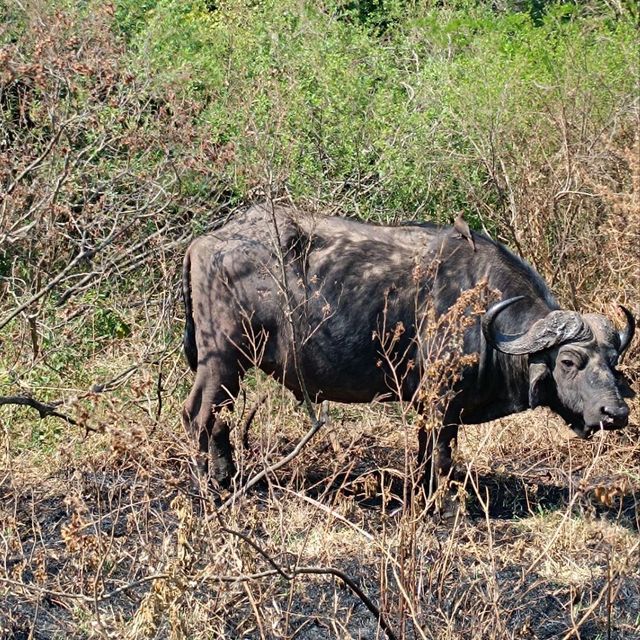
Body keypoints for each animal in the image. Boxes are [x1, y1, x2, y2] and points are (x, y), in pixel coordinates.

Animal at [180, 202, 636, 492]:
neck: (482, 312)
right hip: (223, 359)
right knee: (200, 415)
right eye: (569, 361)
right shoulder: (442, 401)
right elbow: (442, 455)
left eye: (613, 362)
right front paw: (445, 505)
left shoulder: (426, 404)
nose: (615, 414)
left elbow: (424, 452)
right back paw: (213, 482)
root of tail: (207, 240)